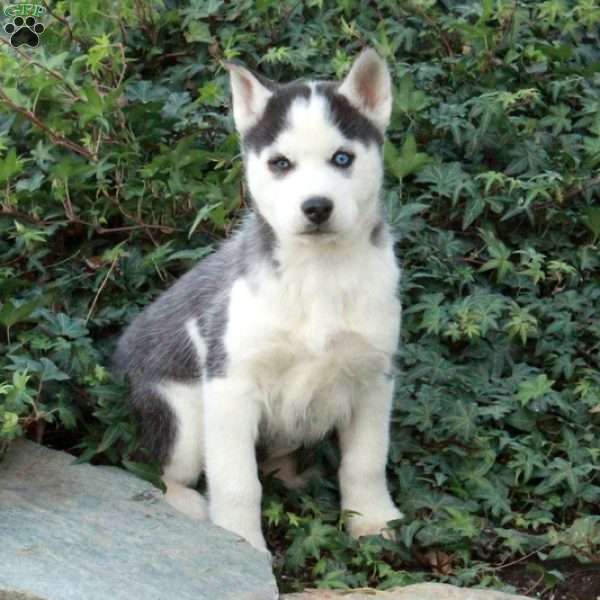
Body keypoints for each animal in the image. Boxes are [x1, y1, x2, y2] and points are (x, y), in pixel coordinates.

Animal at [112, 49, 404, 552]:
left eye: (342, 158)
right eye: (280, 163)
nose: (316, 207)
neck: (319, 274)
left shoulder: (373, 379)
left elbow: (366, 462)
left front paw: (371, 519)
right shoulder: (232, 385)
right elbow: (237, 481)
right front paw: (238, 541)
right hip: (184, 419)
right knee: (168, 472)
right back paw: (189, 505)